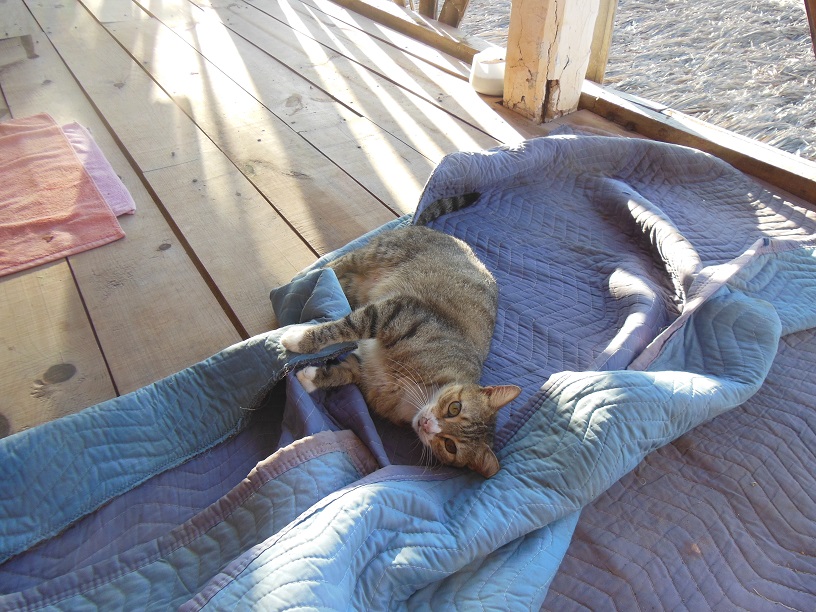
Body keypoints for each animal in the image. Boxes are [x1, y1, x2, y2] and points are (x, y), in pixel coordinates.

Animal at [284, 210, 520, 478]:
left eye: (450, 446)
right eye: (455, 408)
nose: (427, 424)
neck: (413, 393)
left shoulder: (367, 373)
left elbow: (343, 372)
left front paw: (311, 377)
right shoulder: (398, 312)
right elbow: (348, 326)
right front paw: (299, 339)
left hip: (356, 286)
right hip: (378, 254)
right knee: (340, 263)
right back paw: (307, 278)